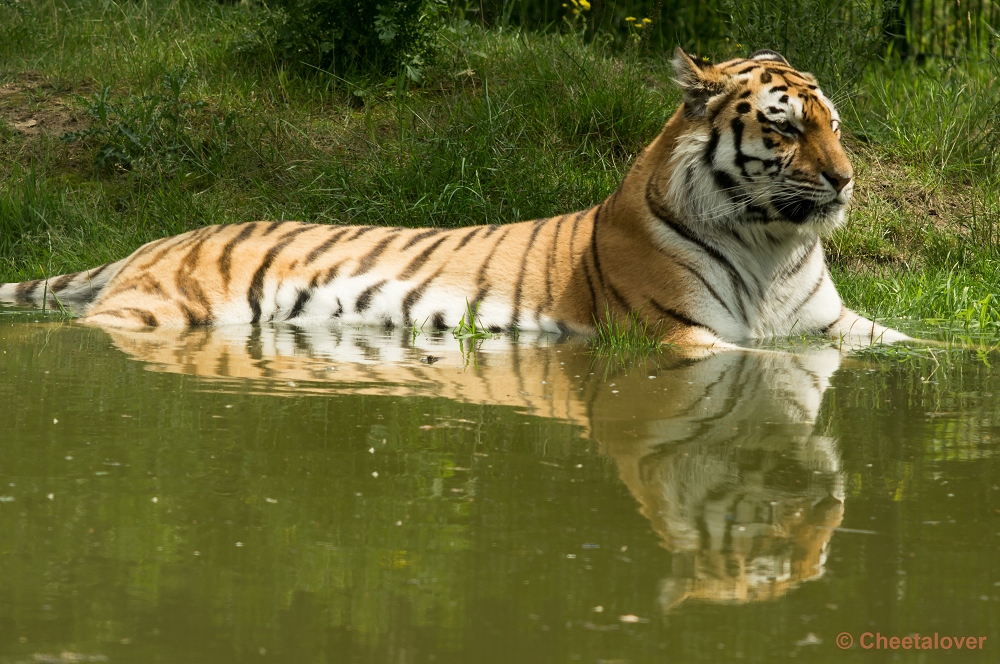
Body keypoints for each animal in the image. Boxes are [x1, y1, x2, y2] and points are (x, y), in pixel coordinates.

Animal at [0, 47, 908, 348]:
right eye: (786, 129)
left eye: (833, 124)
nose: (844, 179)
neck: (773, 244)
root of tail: (156, 239)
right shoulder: (682, 337)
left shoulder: (838, 324)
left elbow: (920, 346)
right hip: (161, 311)